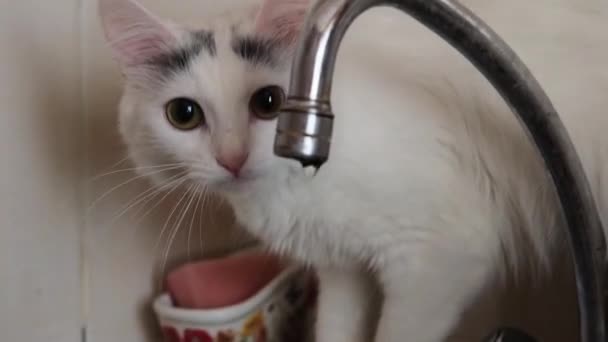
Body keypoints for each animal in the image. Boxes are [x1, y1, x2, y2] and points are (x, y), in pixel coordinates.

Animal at [98, 0, 608, 340]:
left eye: (269, 102)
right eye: (183, 114)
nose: (232, 158)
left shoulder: (438, 258)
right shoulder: (342, 268)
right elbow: (336, 329)